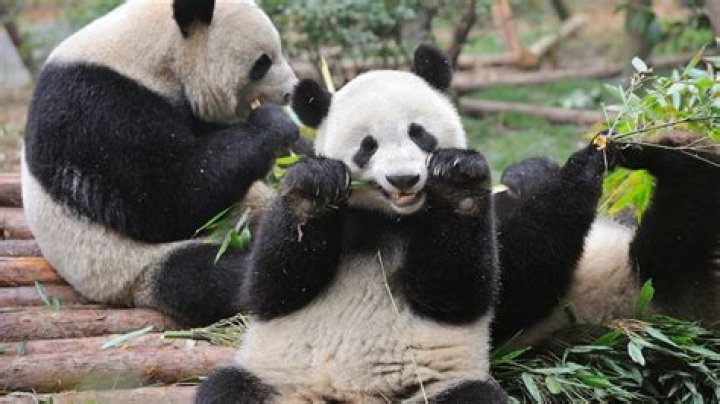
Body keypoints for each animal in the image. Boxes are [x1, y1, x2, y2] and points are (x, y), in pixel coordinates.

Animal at [21, 0, 300, 326]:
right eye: (262, 63)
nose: (292, 90)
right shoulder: (96, 108)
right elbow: (167, 198)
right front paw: (274, 126)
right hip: (129, 268)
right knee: (209, 275)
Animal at [197, 44, 719, 402]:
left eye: (420, 134)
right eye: (366, 146)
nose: (404, 178)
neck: (391, 220)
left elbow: (467, 289)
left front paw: (465, 181)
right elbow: (270, 289)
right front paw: (312, 186)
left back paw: (667, 145)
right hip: (275, 376)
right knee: (226, 389)